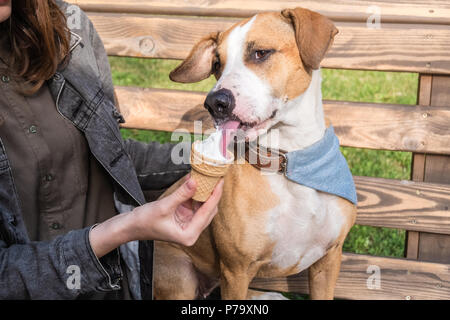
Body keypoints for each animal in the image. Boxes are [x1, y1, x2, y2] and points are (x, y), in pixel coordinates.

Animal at [153, 6, 356, 300]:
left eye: (260, 53)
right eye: (217, 64)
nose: (215, 103)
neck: (289, 161)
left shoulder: (328, 260)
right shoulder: (236, 270)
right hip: (179, 275)